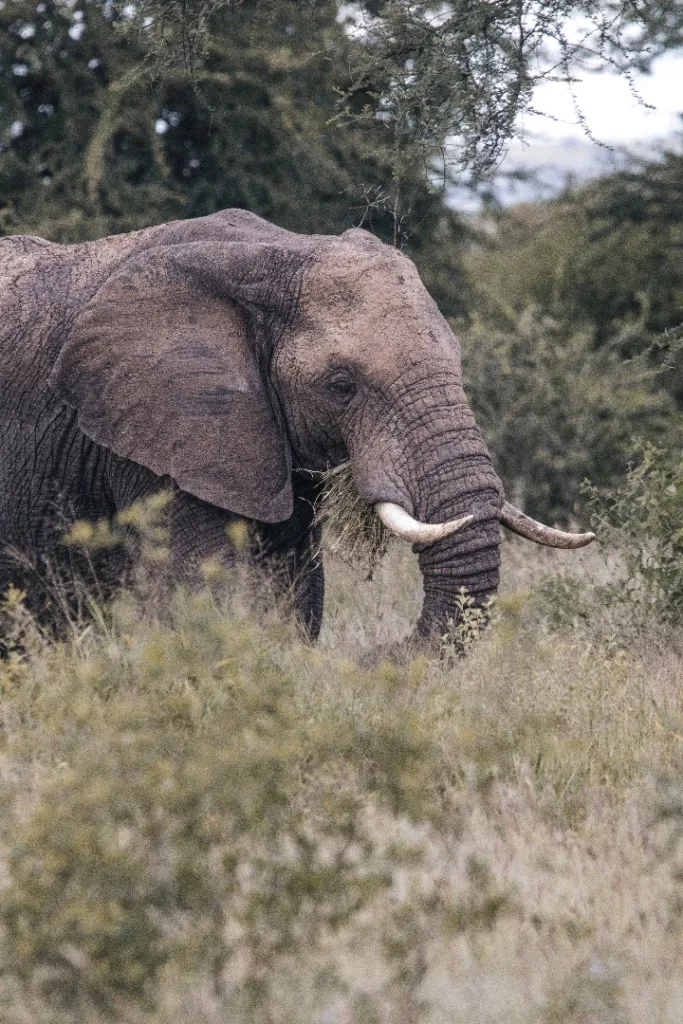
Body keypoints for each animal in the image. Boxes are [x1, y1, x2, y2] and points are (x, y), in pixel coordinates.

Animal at [0, 208, 593, 642]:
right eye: (341, 384)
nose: (377, 654)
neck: (276, 251)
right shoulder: (154, 432)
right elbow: (201, 586)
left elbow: (297, 589)